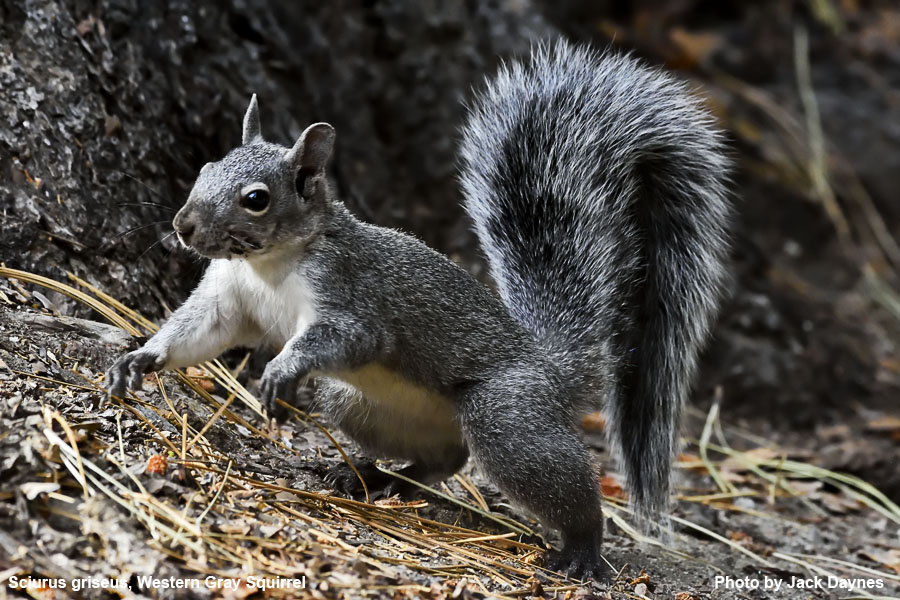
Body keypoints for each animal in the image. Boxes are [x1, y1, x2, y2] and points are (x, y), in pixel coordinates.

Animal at [106, 41, 730, 580]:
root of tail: (548, 362)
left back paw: (582, 549)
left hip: (508, 415)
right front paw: (141, 359)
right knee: (445, 459)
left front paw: (281, 370)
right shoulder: (228, 298)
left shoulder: (353, 296)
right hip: (359, 402)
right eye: (206, 168)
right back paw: (373, 476)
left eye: (255, 199)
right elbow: (200, 332)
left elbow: (347, 338)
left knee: (547, 477)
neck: (268, 264)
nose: (183, 226)